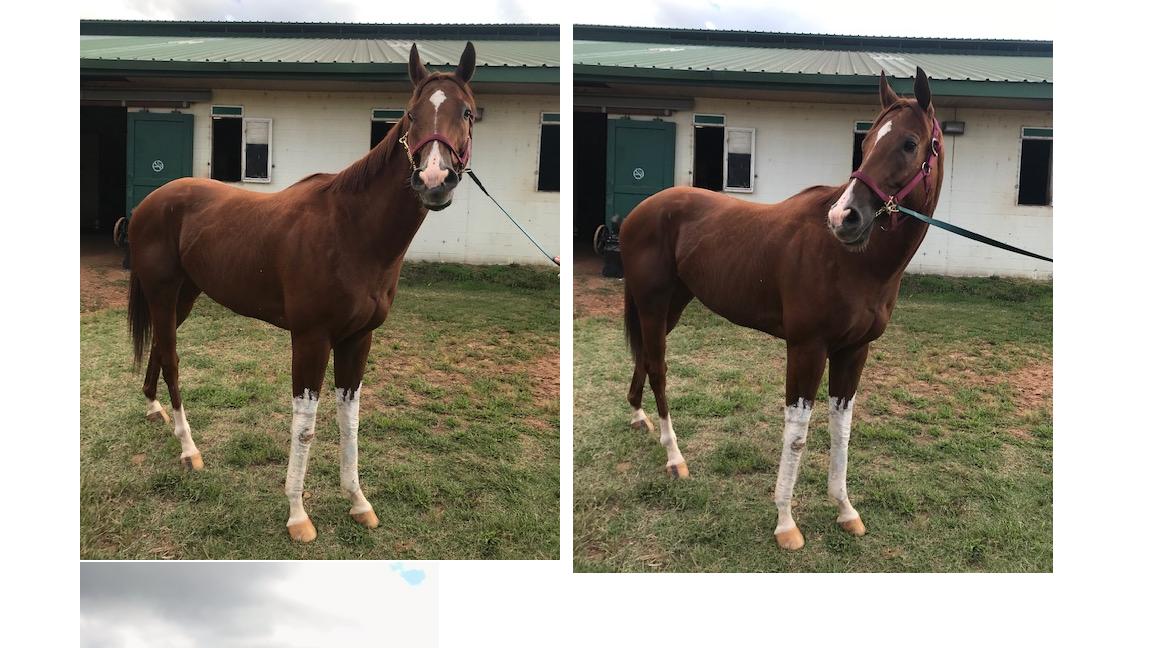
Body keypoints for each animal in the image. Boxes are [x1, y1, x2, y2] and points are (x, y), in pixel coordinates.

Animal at [125, 42, 478, 543]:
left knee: (159, 345)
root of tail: (150, 202)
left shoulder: (358, 340)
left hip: (184, 296)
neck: (351, 230)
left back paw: (155, 410)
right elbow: (305, 427)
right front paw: (297, 515)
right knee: (172, 358)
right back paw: (189, 449)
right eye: (411, 114)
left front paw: (359, 503)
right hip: (162, 291)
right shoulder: (311, 339)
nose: (433, 180)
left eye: (467, 112)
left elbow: (349, 423)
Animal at [620, 67, 943, 551]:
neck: (853, 260)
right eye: (867, 143)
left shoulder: (854, 352)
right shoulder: (807, 348)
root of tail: (637, 212)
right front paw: (786, 524)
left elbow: (841, 430)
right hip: (655, 307)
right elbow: (797, 434)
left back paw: (639, 417)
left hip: (669, 307)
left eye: (909, 143)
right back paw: (675, 457)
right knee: (658, 368)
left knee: (643, 356)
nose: (845, 217)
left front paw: (845, 510)